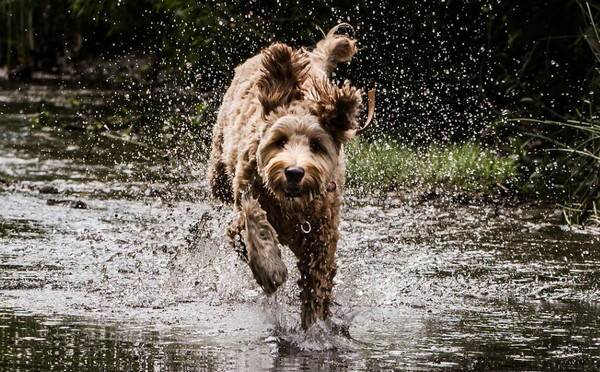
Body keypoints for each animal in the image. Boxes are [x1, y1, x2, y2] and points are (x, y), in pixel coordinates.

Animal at [209, 24, 364, 330]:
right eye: (279, 141)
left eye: (317, 146)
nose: (294, 172)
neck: (291, 209)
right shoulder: (247, 198)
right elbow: (253, 226)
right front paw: (271, 271)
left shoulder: (321, 235)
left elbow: (317, 280)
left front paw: (315, 325)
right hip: (219, 167)